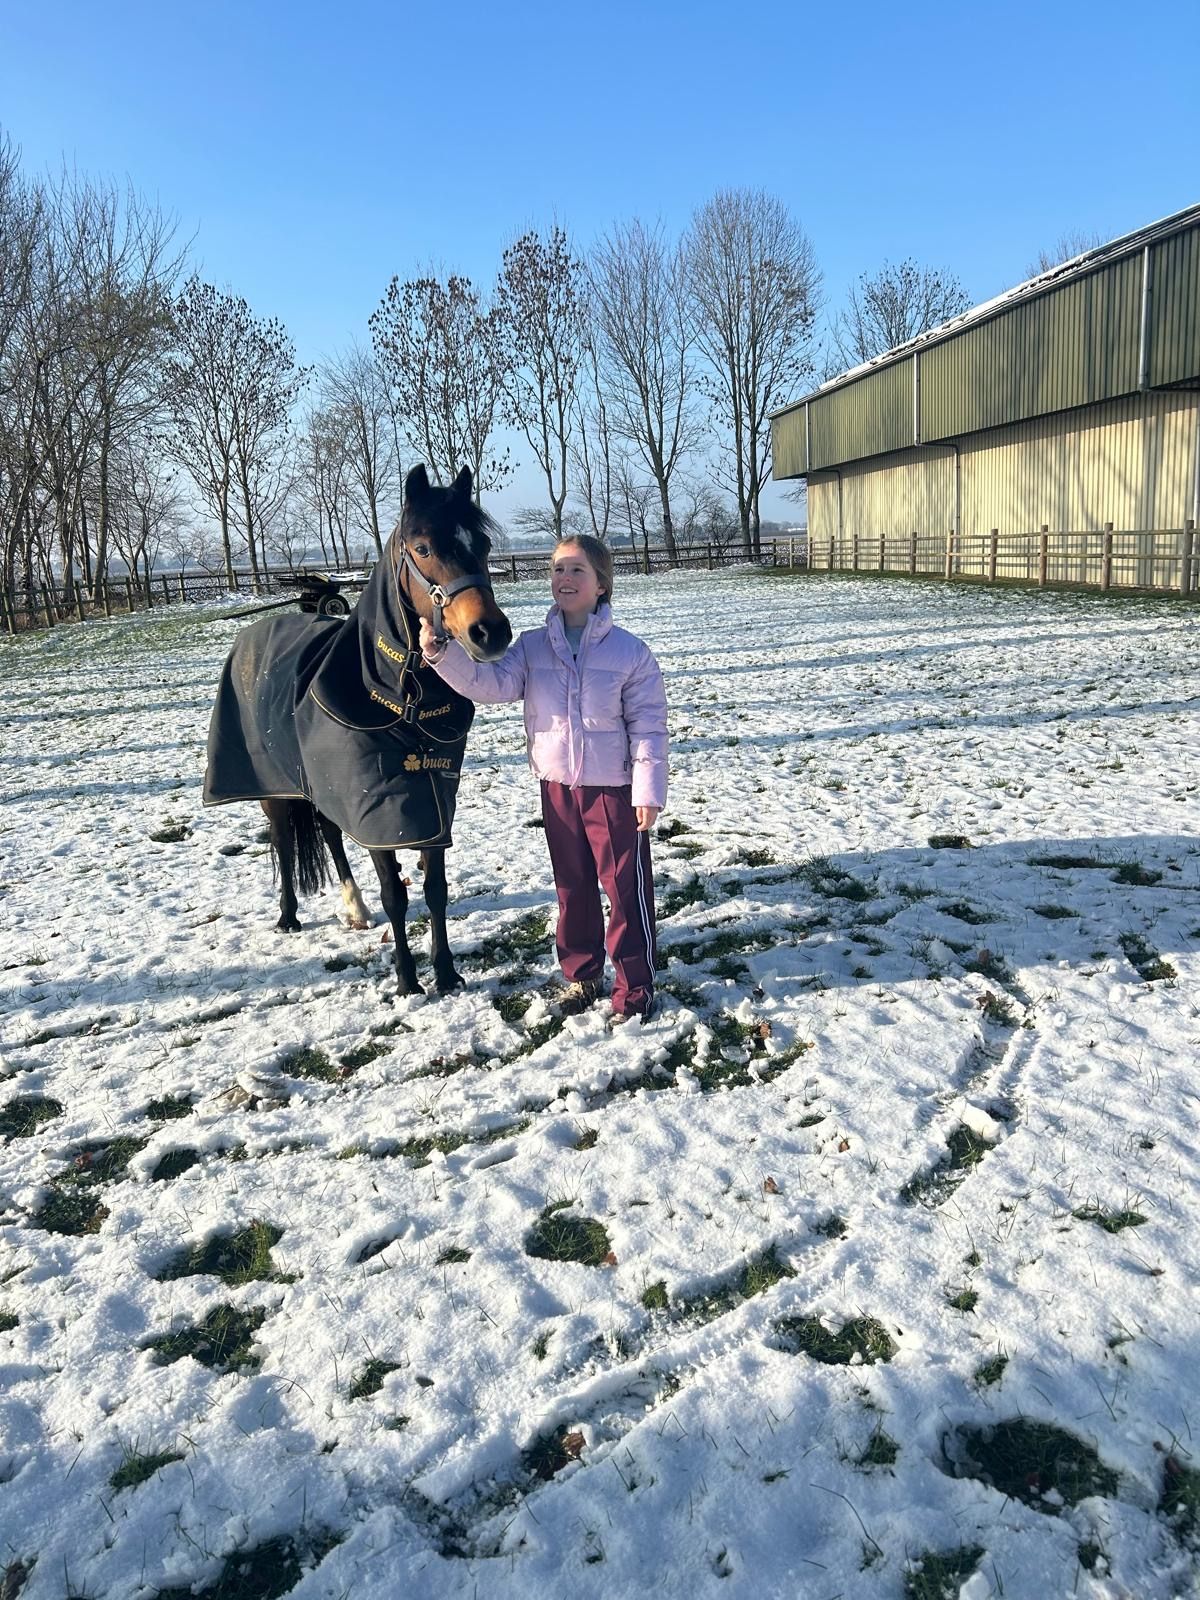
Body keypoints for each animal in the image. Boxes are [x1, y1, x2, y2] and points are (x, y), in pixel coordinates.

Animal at [203, 464, 513, 996]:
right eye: (423, 547)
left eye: (484, 544)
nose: (490, 633)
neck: (399, 701)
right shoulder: (381, 813)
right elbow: (395, 895)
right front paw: (408, 982)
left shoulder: (430, 809)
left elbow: (435, 890)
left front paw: (446, 973)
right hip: (275, 789)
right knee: (284, 842)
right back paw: (289, 916)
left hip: (321, 784)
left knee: (329, 833)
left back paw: (354, 908)